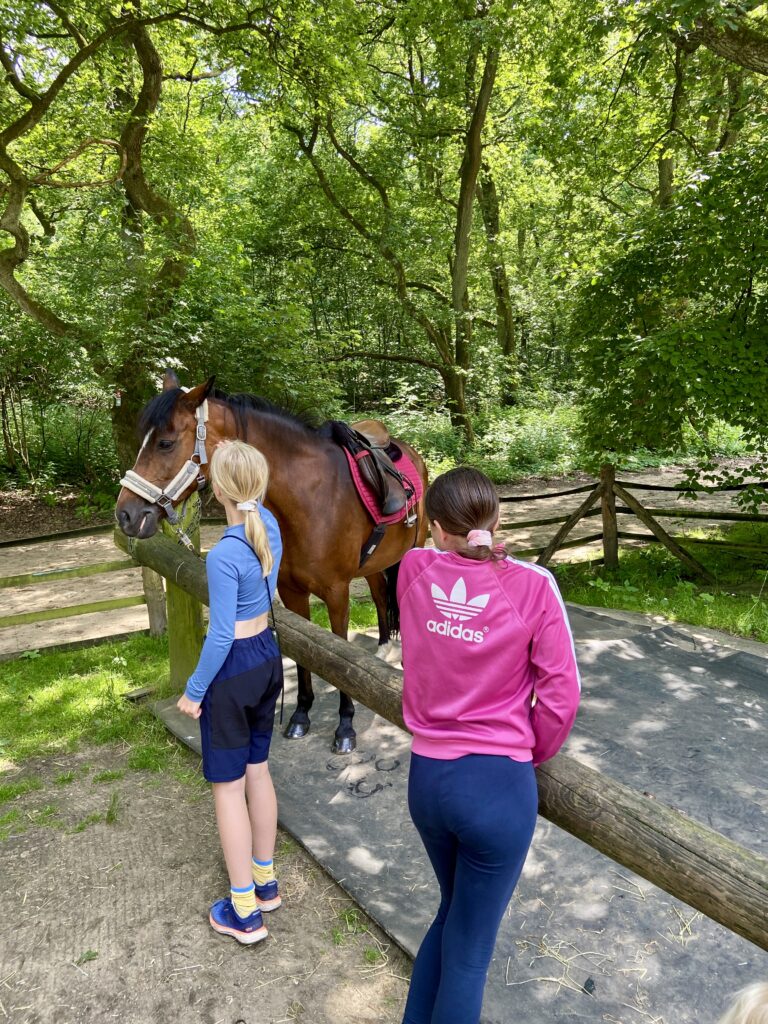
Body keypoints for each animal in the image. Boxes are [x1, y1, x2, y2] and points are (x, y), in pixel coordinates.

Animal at [114, 372, 430, 757]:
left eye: (165, 443)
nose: (126, 514)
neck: (311, 497)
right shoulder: (290, 592)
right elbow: (307, 656)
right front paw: (301, 714)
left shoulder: (337, 594)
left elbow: (340, 654)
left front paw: (345, 725)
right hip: (373, 562)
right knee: (380, 595)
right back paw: (384, 648)